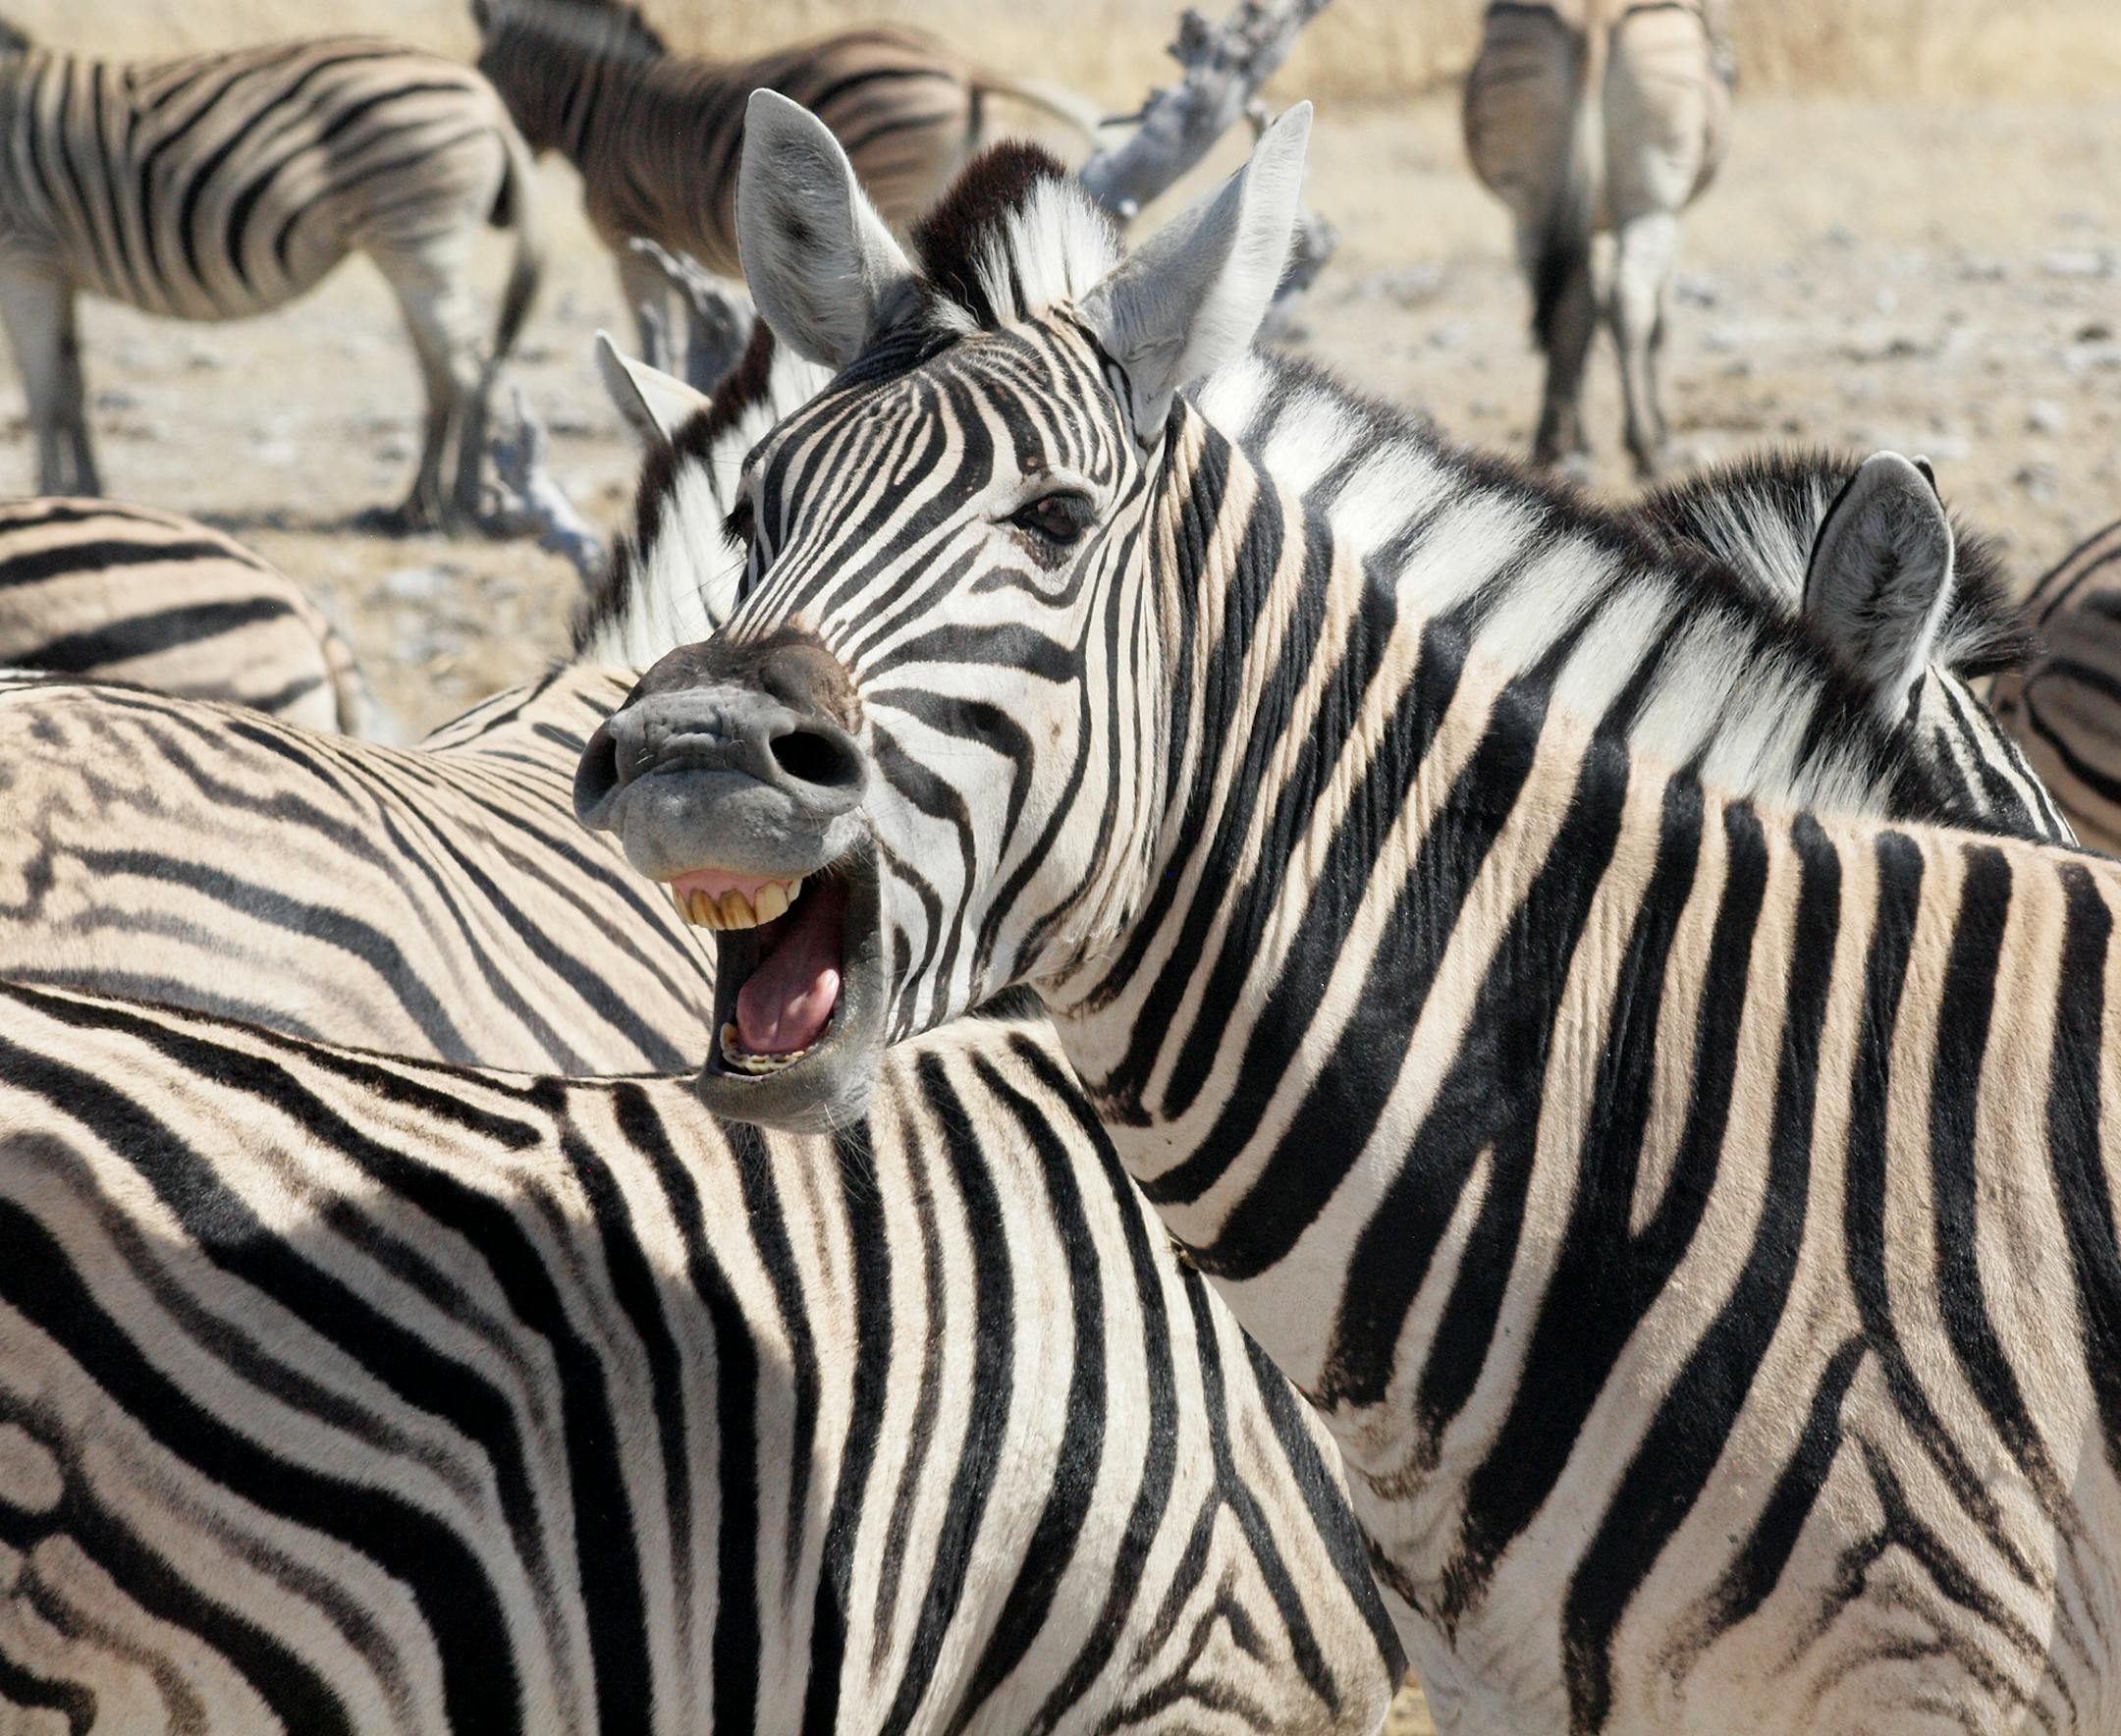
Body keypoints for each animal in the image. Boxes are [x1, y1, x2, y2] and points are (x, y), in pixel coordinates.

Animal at [0, 22, 543, 527]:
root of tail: (485, 96)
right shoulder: (57, 271)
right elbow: (71, 389)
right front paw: (87, 493)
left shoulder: (25, 259)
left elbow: (43, 395)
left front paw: (47, 497)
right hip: (408, 251)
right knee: (440, 372)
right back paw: (414, 505)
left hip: (421, 241)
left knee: (469, 372)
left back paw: (461, 507)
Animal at [470, 0, 1098, 356]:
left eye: (481, 80)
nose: (496, 212)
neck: (602, 108)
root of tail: (963, 66)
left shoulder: (628, 241)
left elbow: (653, 337)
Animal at [1463, 0, 1734, 475]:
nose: (1727, 66)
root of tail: (1593, 13)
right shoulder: (1675, 217)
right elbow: (1658, 325)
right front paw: (1660, 431)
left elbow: (1580, 320)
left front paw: (1578, 437)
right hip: (1650, 202)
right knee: (1629, 305)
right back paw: (1646, 445)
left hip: (1530, 211)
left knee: (1569, 309)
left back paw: (1554, 441)